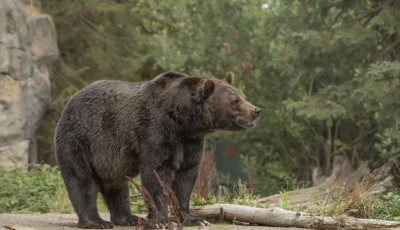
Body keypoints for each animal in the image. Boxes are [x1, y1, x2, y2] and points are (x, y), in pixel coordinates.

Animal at [54, 72, 260, 228]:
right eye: (234, 100)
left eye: (244, 96)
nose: (256, 110)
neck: (182, 121)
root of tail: (69, 101)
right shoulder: (157, 132)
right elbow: (157, 173)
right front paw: (161, 220)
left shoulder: (191, 141)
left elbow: (186, 177)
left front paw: (194, 219)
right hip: (80, 139)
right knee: (81, 179)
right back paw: (96, 221)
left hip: (110, 160)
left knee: (117, 186)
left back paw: (128, 218)